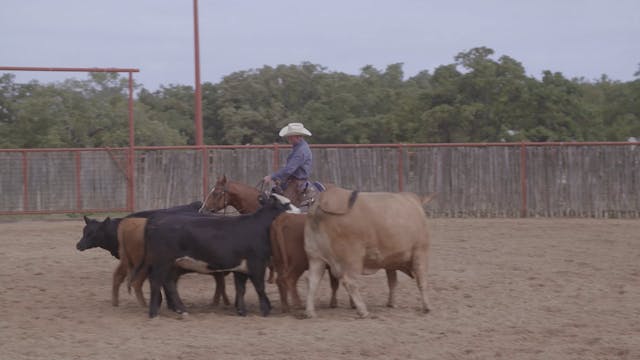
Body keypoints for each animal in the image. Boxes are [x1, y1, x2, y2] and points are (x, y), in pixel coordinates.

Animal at [141, 194, 298, 318]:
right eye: (286, 204)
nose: (299, 210)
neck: (258, 227)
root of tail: (156, 219)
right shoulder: (256, 263)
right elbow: (259, 286)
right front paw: (266, 309)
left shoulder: (241, 267)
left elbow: (241, 288)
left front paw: (242, 311)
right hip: (162, 262)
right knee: (156, 282)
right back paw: (153, 313)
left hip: (172, 264)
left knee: (169, 283)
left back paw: (182, 310)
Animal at [302, 187, 432, 316]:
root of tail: (323, 199)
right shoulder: (420, 252)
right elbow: (422, 281)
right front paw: (427, 307)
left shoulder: (390, 262)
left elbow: (392, 282)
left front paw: (392, 303)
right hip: (353, 259)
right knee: (350, 282)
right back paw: (363, 310)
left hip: (315, 257)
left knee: (312, 281)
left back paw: (310, 312)